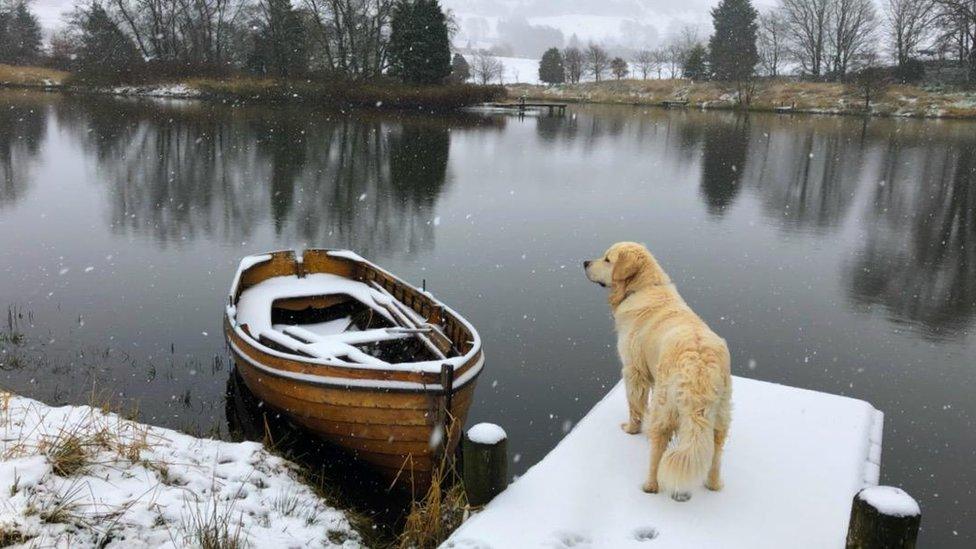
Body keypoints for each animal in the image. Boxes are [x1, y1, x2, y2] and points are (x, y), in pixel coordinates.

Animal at [584, 243, 728, 496]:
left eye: (607, 259)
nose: (585, 263)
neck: (641, 288)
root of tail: (699, 364)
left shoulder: (633, 370)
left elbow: (635, 405)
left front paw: (631, 428)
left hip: (666, 405)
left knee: (658, 447)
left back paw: (650, 485)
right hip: (722, 412)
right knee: (716, 450)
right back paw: (713, 485)